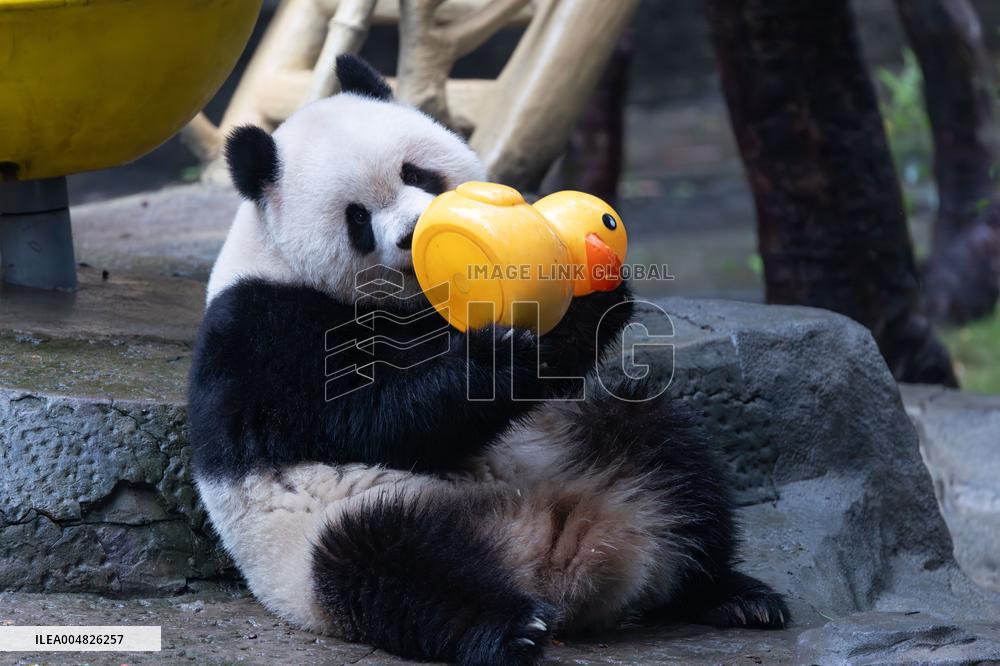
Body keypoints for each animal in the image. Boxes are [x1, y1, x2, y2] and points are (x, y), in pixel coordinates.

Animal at [189, 55, 788, 666]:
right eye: (357, 218)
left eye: (416, 174)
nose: (413, 234)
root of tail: (556, 555)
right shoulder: (264, 332)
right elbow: (367, 420)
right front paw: (504, 354)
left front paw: (588, 299)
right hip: (331, 529)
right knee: (390, 568)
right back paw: (510, 627)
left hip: (580, 441)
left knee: (673, 457)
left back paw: (734, 595)